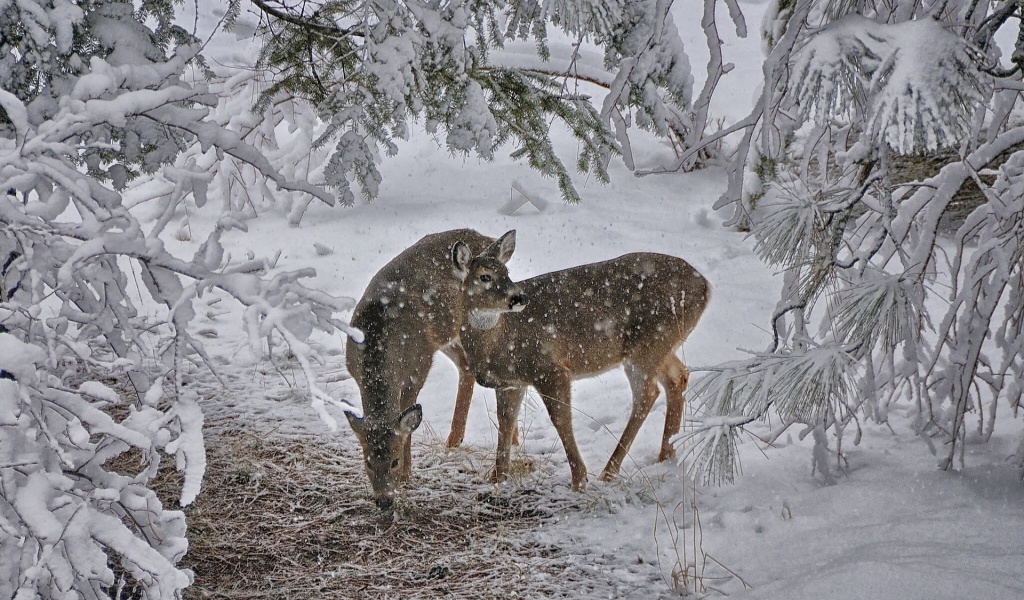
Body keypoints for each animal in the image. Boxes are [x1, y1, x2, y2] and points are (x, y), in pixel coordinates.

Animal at [452, 231, 708, 487]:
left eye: (507, 272)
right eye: (485, 276)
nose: (519, 297)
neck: (497, 341)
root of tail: (706, 286)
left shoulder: (550, 368)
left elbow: (560, 418)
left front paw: (579, 478)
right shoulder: (510, 383)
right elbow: (505, 422)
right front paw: (497, 477)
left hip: (649, 344)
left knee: (647, 394)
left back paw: (609, 471)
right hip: (660, 345)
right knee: (678, 376)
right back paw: (666, 455)